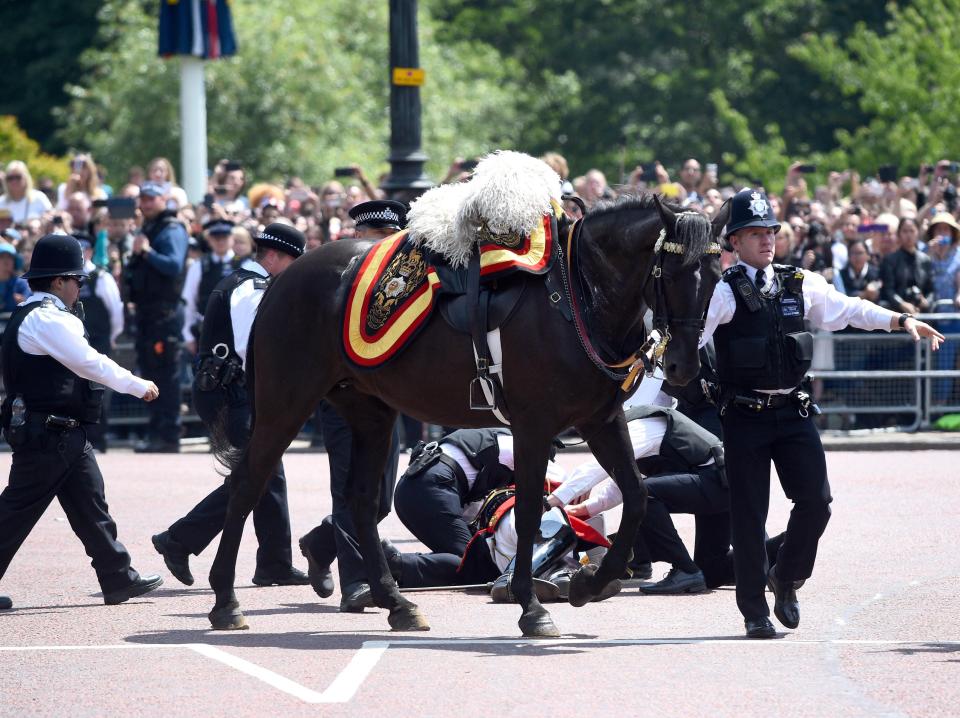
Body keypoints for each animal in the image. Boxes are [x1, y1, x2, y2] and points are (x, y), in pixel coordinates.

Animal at [206, 194, 724, 640]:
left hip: (370, 413)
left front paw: (589, 584)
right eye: (673, 273)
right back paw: (226, 601)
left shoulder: (602, 420)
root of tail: (283, 280)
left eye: (716, 275)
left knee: (359, 501)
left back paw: (394, 602)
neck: (576, 296)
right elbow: (531, 510)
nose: (683, 365)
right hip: (285, 404)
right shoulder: (534, 425)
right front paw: (531, 607)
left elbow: (636, 494)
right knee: (248, 485)